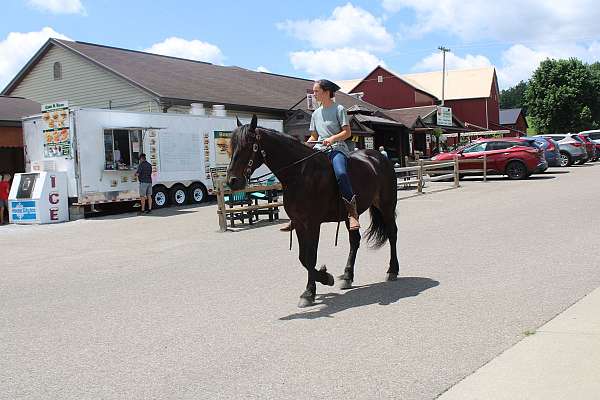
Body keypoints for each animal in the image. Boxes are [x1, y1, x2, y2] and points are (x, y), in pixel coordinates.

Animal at [227, 114, 400, 308]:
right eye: (231, 146)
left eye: (248, 145)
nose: (232, 181)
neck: (299, 174)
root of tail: (379, 158)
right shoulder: (300, 223)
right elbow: (303, 258)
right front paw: (324, 278)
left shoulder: (313, 223)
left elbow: (310, 257)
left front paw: (310, 292)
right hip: (350, 217)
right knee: (354, 241)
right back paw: (347, 276)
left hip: (386, 206)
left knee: (392, 234)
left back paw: (392, 270)